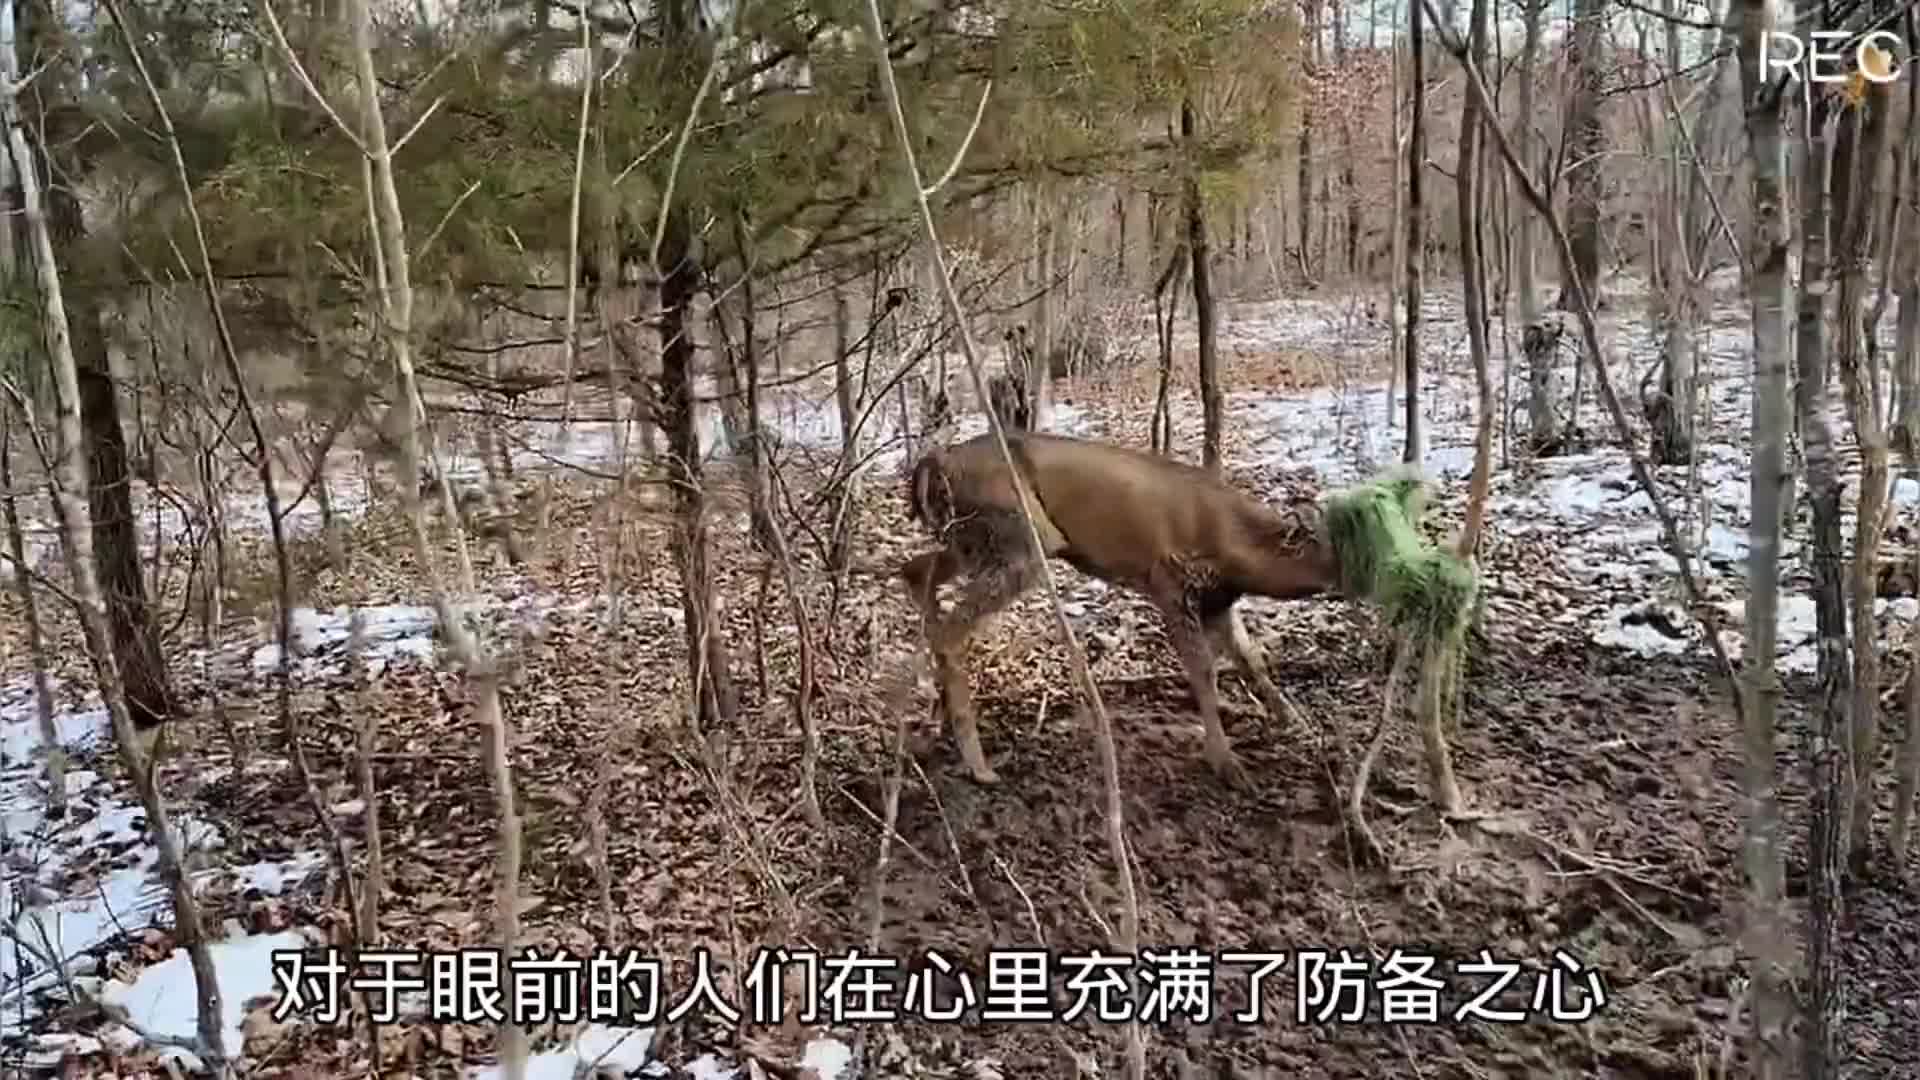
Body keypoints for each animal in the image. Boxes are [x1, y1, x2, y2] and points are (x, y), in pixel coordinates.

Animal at [899, 429, 1340, 787]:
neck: (1234, 547)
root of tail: (935, 461)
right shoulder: (1170, 579)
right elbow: (1203, 671)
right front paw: (1226, 764)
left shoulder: (1218, 601)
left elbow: (1252, 659)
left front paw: (1296, 723)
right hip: (1017, 533)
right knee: (948, 628)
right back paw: (978, 764)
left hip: (971, 540)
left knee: (915, 572)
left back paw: (937, 716)